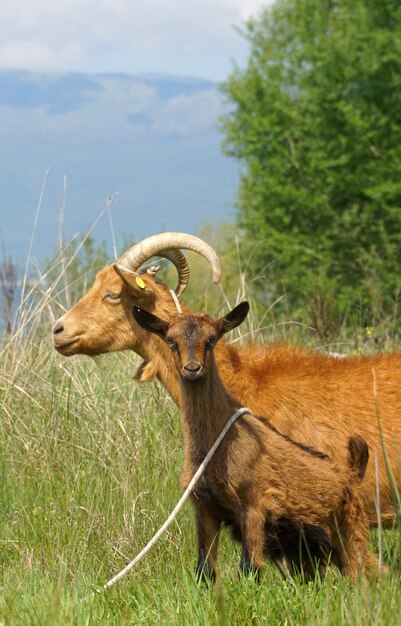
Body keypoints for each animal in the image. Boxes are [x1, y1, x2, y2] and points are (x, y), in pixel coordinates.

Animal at [133, 302, 374, 580]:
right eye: (171, 341)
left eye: (212, 339)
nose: (192, 369)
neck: (219, 445)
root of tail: (352, 471)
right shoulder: (204, 506)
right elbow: (204, 569)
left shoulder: (254, 505)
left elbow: (249, 568)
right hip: (304, 545)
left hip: (350, 529)